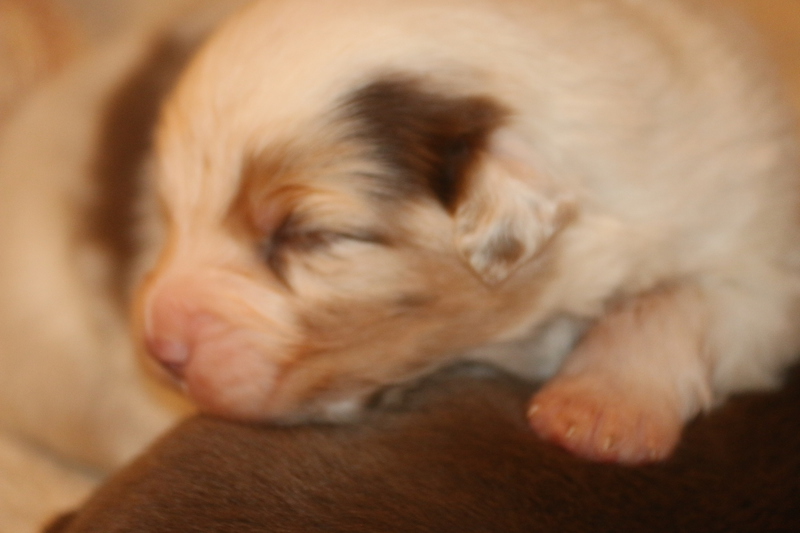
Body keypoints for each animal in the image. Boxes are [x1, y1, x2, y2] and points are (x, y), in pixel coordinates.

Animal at [132, 0, 800, 464]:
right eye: (172, 215)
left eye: (309, 235)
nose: (160, 351)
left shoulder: (762, 257)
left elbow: (673, 298)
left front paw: (602, 410)